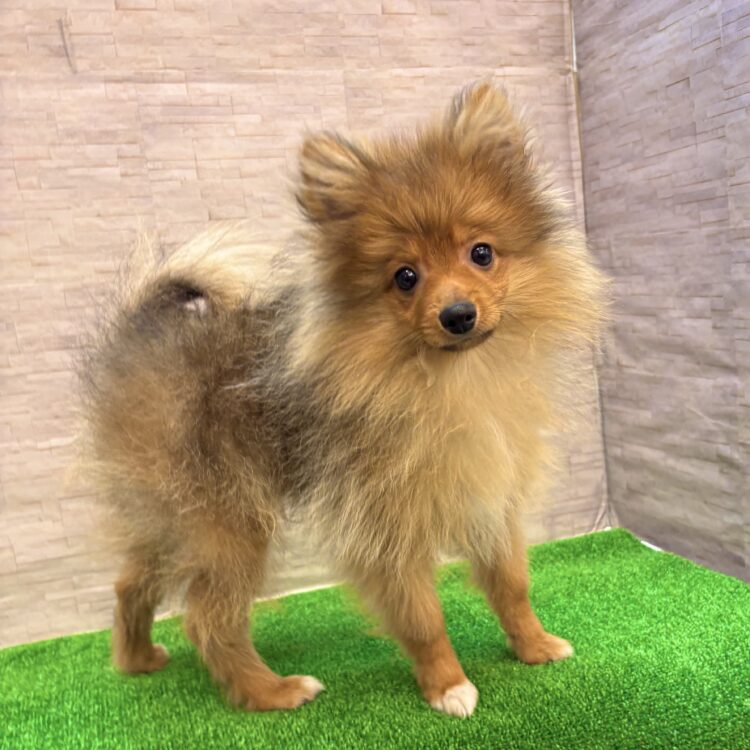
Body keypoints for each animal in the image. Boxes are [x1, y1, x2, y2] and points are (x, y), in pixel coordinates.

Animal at [79, 82, 607, 717]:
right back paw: (273, 691)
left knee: (130, 581)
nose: (458, 314)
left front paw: (534, 646)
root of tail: (137, 329)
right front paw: (448, 686)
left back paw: (136, 660)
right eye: (405, 277)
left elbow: (511, 584)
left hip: (169, 514)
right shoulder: (382, 520)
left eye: (481, 254)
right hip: (226, 516)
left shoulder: (491, 492)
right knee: (208, 619)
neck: (447, 378)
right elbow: (422, 617)